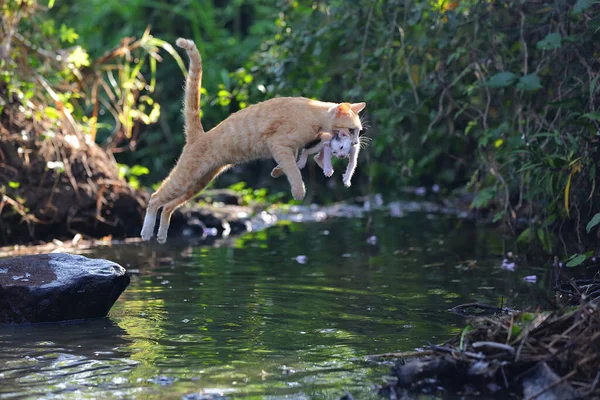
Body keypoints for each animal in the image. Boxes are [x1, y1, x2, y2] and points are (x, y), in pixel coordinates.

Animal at [141, 39, 366, 242]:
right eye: (350, 130)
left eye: (358, 132)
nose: (355, 144)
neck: (314, 114)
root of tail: (199, 136)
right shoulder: (279, 144)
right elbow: (293, 171)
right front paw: (298, 190)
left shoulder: (290, 148)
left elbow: (293, 161)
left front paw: (277, 171)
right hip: (186, 177)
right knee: (155, 198)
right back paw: (146, 231)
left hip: (200, 181)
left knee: (168, 206)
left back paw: (161, 235)